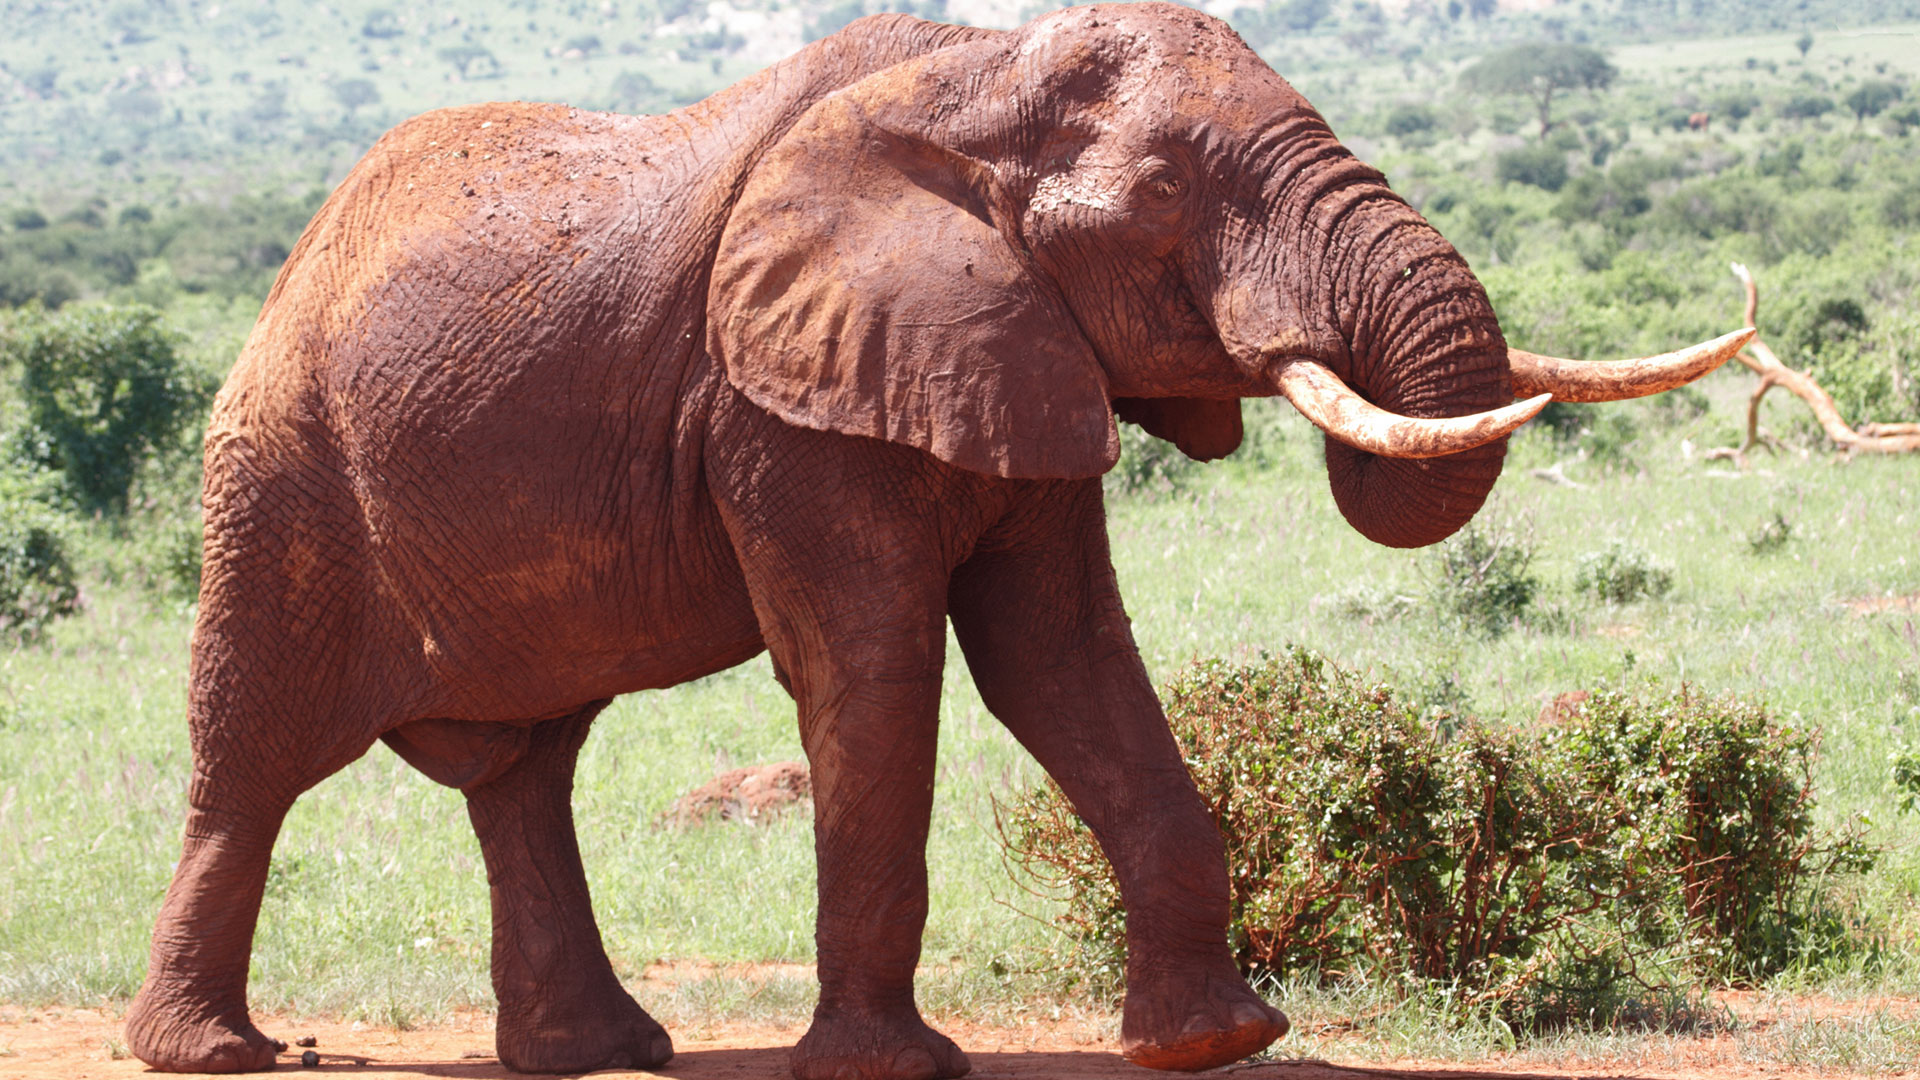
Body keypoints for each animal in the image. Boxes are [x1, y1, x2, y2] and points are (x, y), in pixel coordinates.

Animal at [123, 5, 1749, 1077]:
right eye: (1170, 197)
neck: (976, 74)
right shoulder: (775, 393)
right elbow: (878, 669)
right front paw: (890, 1069)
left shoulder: (1012, 351)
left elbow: (1064, 660)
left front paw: (1218, 1040)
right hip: (278, 472)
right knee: (252, 757)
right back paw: (219, 1054)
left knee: (525, 769)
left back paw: (602, 1051)